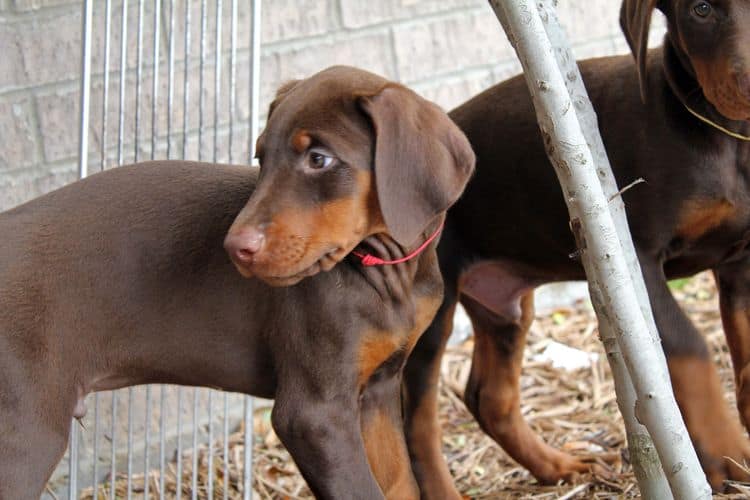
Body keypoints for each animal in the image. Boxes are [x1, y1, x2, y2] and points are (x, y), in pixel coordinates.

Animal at [0, 66, 476, 500]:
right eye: (262, 158)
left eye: (318, 159)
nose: (235, 247)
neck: (387, 270)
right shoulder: (315, 414)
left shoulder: (378, 390)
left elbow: (399, 482)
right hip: (26, 431)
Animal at [402, 0, 750, 492]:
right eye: (700, 10)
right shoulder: (635, 257)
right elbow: (690, 345)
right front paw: (727, 453)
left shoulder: (741, 260)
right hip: (429, 309)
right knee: (417, 423)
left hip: (501, 303)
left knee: (490, 397)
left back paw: (557, 466)